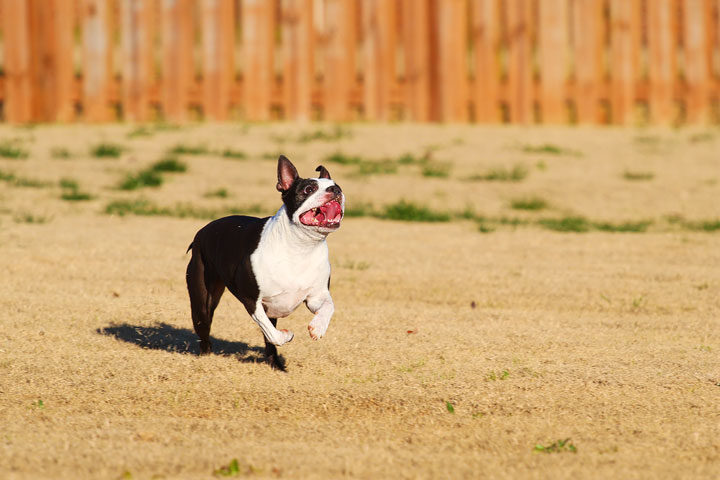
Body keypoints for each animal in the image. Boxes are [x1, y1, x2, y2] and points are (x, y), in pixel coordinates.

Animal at [184, 156, 344, 370]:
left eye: (337, 185)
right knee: (204, 330)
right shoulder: (252, 300)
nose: (335, 190)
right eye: (309, 189)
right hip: (203, 300)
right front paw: (286, 335)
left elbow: (328, 307)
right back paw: (206, 357)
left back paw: (276, 363)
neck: (301, 247)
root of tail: (202, 231)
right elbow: (272, 334)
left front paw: (318, 327)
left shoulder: (316, 296)